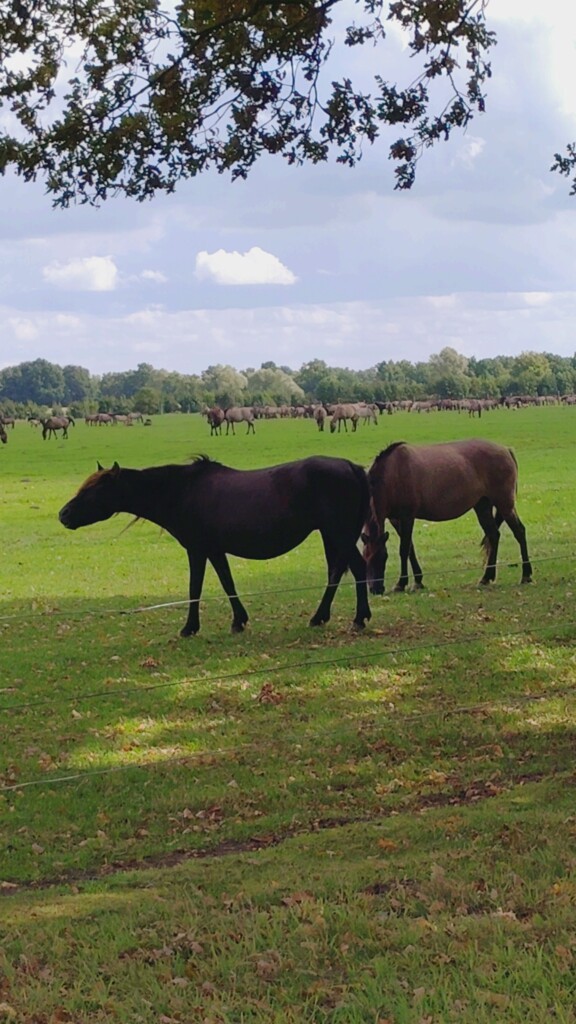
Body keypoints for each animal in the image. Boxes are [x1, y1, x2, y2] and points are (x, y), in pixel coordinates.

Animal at [58, 455, 372, 636]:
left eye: (93, 490)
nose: (63, 514)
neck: (181, 491)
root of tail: (352, 467)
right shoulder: (215, 550)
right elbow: (227, 582)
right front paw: (239, 621)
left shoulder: (197, 550)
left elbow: (195, 588)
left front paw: (189, 627)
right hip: (333, 534)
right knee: (343, 571)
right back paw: (331, 616)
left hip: (338, 533)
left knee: (354, 569)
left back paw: (352, 618)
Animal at [361, 439, 532, 594]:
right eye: (365, 558)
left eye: (383, 557)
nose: (375, 589)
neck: (393, 473)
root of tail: (506, 450)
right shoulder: (395, 519)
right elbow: (410, 549)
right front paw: (418, 581)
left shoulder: (407, 517)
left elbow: (404, 549)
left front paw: (401, 584)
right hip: (483, 507)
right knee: (494, 536)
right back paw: (486, 578)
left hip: (505, 505)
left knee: (519, 532)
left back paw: (526, 575)